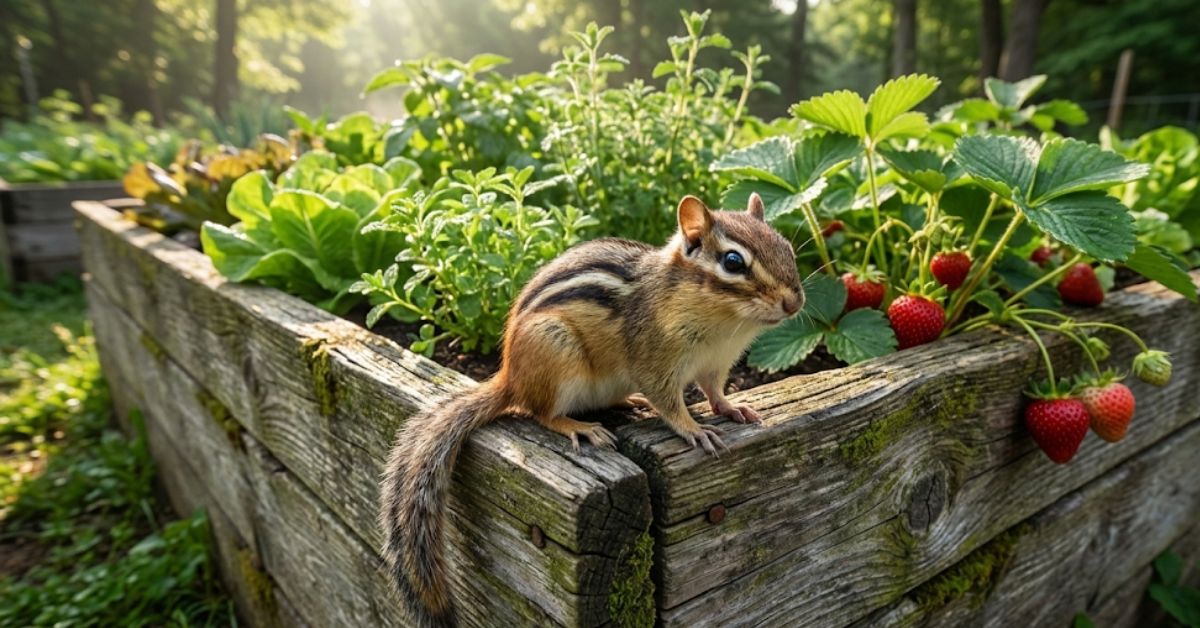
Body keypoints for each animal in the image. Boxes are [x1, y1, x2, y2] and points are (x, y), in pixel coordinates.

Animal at [380, 192, 803, 627]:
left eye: (787, 248)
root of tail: (509, 376)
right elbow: (668, 402)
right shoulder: (655, 361)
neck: (724, 325)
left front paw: (735, 410)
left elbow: (716, 393)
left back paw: (628, 403)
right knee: (539, 412)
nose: (794, 302)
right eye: (733, 262)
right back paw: (578, 427)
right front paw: (694, 429)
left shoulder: (717, 363)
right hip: (555, 351)